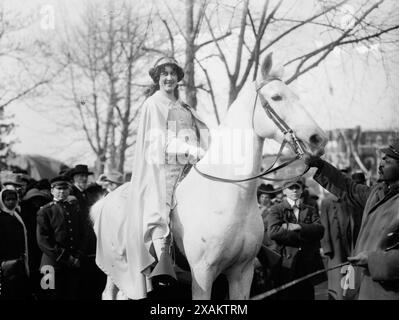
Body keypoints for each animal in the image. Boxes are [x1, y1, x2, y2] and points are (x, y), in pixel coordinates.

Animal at [91, 52, 328, 300]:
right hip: (119, 272)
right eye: (276, 97)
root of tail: (105, 201)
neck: (228, 197)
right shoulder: (202, 274)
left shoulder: (242, 273)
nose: (318, 138)